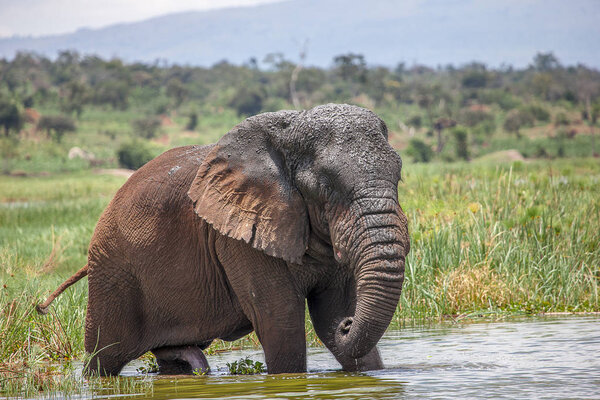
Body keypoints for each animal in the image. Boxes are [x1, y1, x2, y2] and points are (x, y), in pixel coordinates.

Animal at [37, 103, 410, 376]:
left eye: (399, 174)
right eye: (326, 185)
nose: (348, 325)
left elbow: (332, 313)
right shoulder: (239, 239)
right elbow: (280, 322)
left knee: (173, 357)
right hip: (112, 273)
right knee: (104, 358)